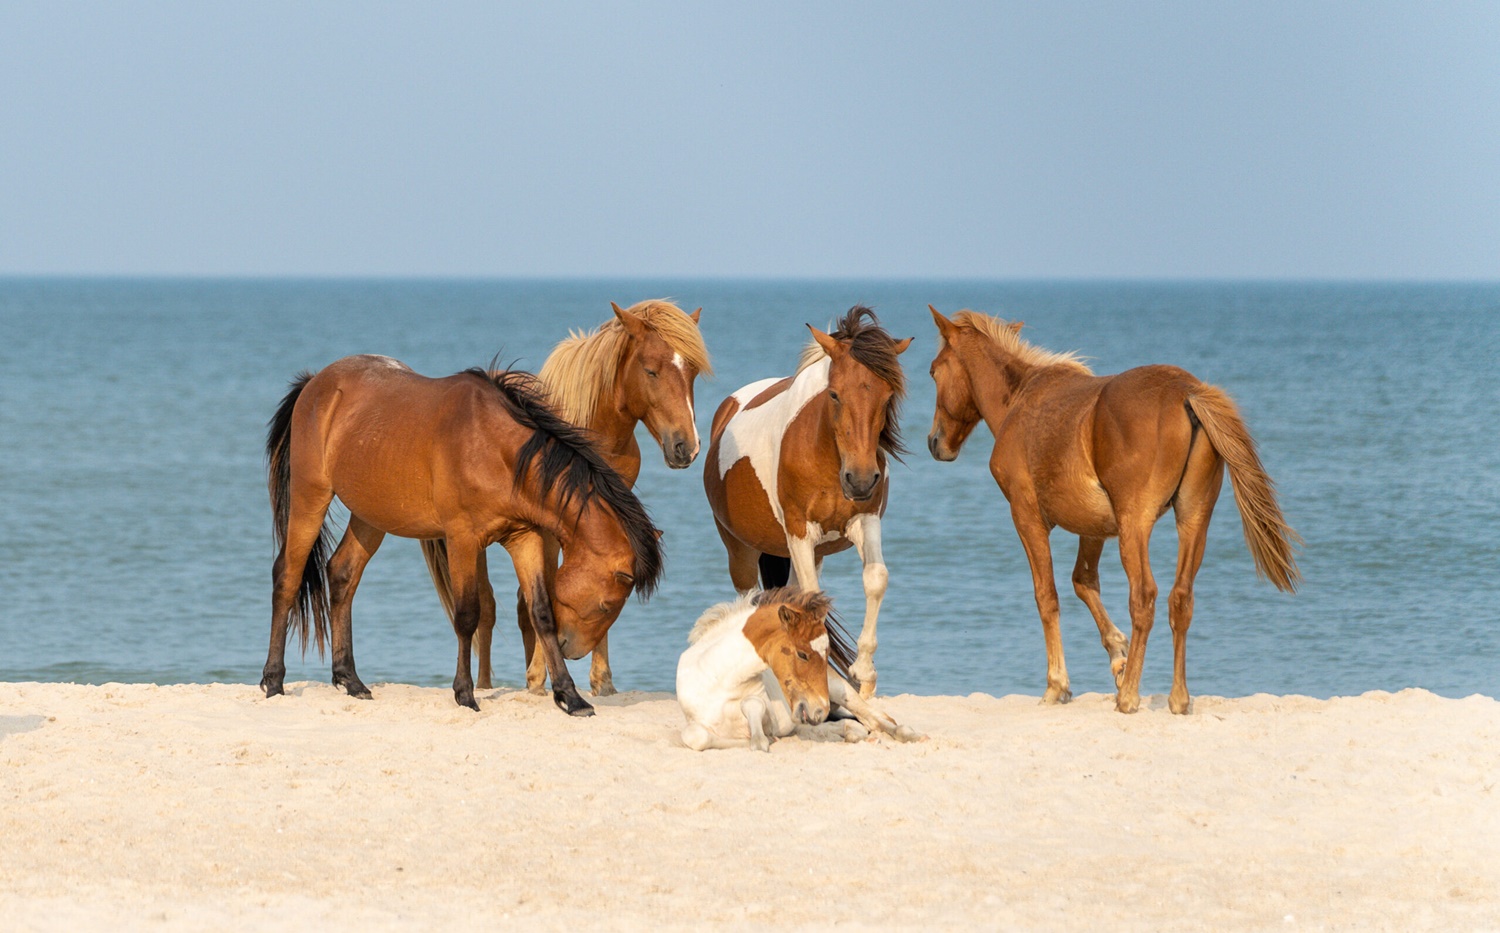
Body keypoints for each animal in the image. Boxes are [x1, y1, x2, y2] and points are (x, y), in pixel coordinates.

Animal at [262, 357, 663, 717]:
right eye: (607, 606)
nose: (571, 650)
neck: (497, 449)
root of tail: (317, 383)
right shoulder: (462, 540)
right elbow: (468, 615)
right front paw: (465, 694)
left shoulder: (525, 539)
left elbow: (542, 612)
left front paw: (570, 697)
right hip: (311, 498)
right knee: (288, 576)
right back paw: (273, 680)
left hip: (370, 516)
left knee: (343, 575)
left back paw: (350, 680)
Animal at [417, 298, 708, 696]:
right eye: (651, 371)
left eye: (692, 371)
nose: (686, 447)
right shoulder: (551, 532)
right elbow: (548, 597)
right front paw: (539, 679)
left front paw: (602, 682)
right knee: (489, 609)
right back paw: (488, 683)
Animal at [678, 591, 912, 753]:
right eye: (802, 654)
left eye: (828, 652)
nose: (820, 710)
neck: (720, 681)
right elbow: (696, 737)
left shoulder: (769, 715)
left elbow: (754, 712)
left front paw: (763, 739)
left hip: (838, 689)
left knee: (876, 718)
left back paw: (906, 733)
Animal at [702, 307, 912, 702]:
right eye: (834, 394)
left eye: (887, 395)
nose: (861, 479)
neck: (824, 453)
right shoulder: (800, 530)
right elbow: (812, 599)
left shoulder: (865, 520)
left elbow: (875, 579)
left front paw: (863, 674)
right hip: (739, 546)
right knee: (748, 597)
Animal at [924, 309, 1302, 717]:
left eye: (934, 370)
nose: (935, 442)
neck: (1022, 398)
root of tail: (1186, 392)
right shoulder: (1094, 528)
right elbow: (1083, 582)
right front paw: (1118, 656)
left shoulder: (1027, 517)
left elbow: (1047, 596)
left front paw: (1057, 686)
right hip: (1193, 518)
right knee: (1180, 598)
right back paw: (1178, 698)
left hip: (1135, 524)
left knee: (1144, 597)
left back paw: (1129, 697)